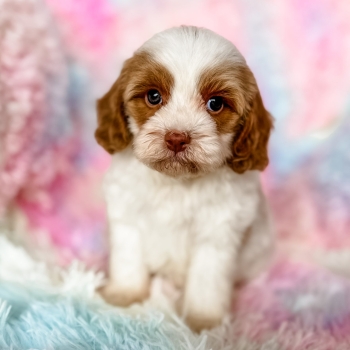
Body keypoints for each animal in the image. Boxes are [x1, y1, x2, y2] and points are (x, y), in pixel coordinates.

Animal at [95, 26, 274, 332]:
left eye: (215, 103)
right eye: (154, 97)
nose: (177, 138)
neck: (177, 183)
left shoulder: (217, 232)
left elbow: (207, 279)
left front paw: (204, 320)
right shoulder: (127, 216)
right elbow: (128, 258)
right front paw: (125, 295)